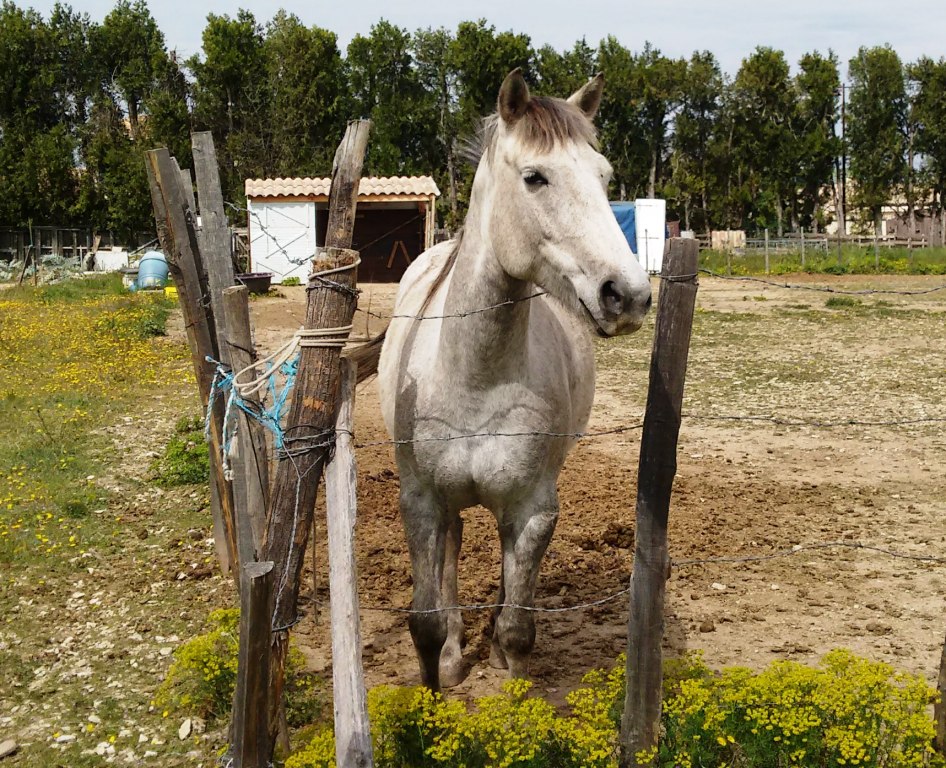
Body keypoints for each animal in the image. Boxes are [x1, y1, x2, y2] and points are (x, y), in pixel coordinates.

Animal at [363, 69, 652, 691]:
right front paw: (440, 674)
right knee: (452, 549)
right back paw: (455, 651)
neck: (475, 379)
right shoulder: (419, 502)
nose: (629, 294)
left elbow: (520, 630)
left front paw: (504, 662)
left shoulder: (534, 509)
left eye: (603, 176)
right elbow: (423, 624)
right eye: (535, 177)